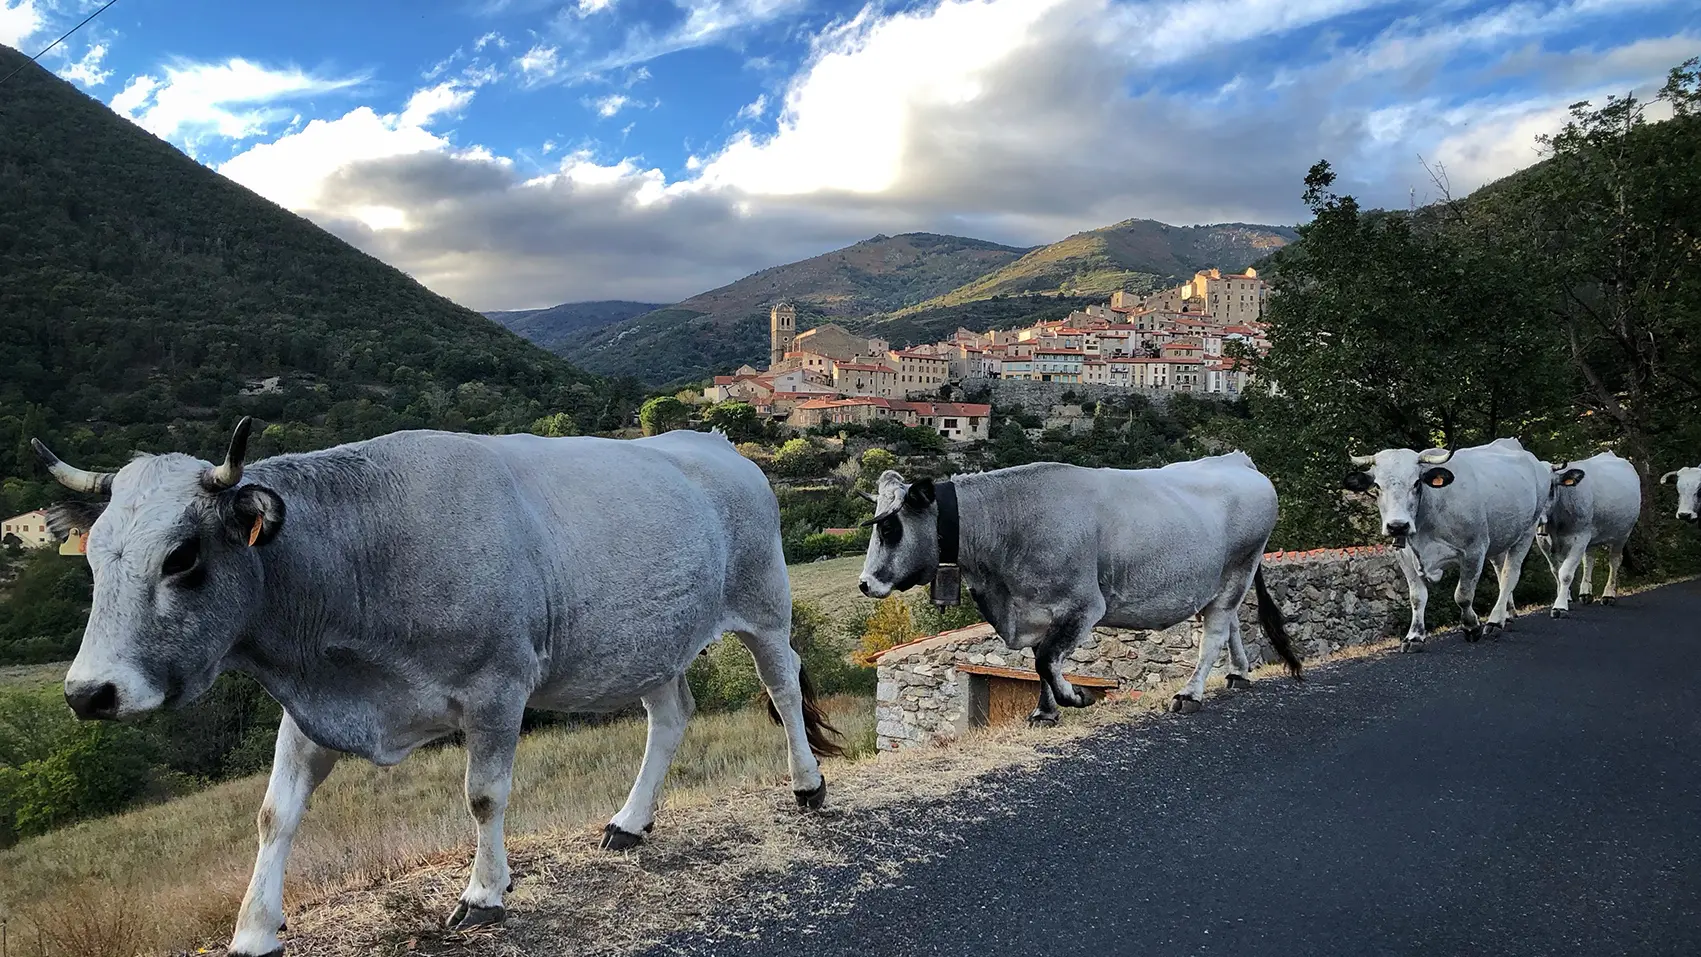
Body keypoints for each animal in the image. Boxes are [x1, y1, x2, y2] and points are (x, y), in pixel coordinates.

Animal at [33, 419, 841, 957]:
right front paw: (254, 927)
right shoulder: (313, 706)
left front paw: (483, 893)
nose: (88, 692)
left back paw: (807, 785)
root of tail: (716, 441)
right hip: (651, 640)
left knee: (783, 687)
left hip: (764, 606)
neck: (362, 552)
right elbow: (273, 813)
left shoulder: (497, 686)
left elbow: (483, 796)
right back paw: (630, 821)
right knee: (670, 716)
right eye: (94, 556)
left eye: (182, 556)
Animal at [855, 453, 1301, 721]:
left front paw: (1073, 698)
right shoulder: (1036, 610)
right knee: (1232, 624)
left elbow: (1045, 661)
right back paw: (1239, 673)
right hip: (1221, 582)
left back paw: (1192, 693)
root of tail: (1238, 460)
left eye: (890, 528)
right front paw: (1045, 711)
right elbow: (1039, 662)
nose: (865, 583)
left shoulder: (1083, 607)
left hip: (1238, 570)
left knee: (1214, 633)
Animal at [1342, 438, 1549, 652]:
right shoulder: (1404, 557)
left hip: (1527, 532)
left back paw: (1495, 621)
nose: (1397, 526)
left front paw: (1471, 626)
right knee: (1501, 572)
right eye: (1377, 485)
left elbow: (1463, 595)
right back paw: (1507, 615)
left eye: (1416, 482)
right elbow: (1417, 597)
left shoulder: (1474, 551)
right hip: (1500, 539)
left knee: (1510, 575)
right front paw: (1414, 636)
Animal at [1535, 452, 1641, 617]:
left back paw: (1608, 594)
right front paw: (1565, 597)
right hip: (1591, 537)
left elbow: (1565, 573)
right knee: (1589, 559)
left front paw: (1560, 606)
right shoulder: (1543, 542)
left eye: (1550, 486)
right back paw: (1585, 593)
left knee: (1614, 561)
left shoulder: (1580, 537)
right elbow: (1556, 571)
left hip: (1622, 534)